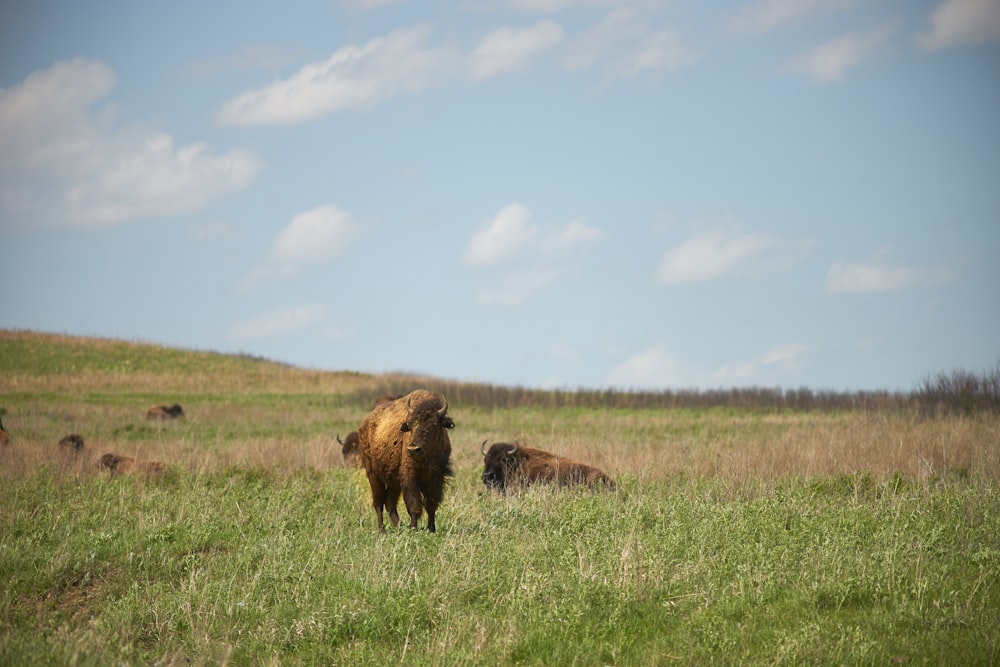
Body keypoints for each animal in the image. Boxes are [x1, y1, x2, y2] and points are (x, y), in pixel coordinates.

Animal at [358, 388, 456, 536]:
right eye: (410, 426)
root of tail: (364, 424)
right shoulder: (410, 478)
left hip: (393, 482)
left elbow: (431, 504)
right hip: (373, 475)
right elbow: (414, 505)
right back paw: (382, 530)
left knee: (389, 503)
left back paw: (399, 527)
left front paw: (431, 529)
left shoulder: (436, 478)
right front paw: (414, 529)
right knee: (378, 503)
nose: (413, 449)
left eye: (434, 425)